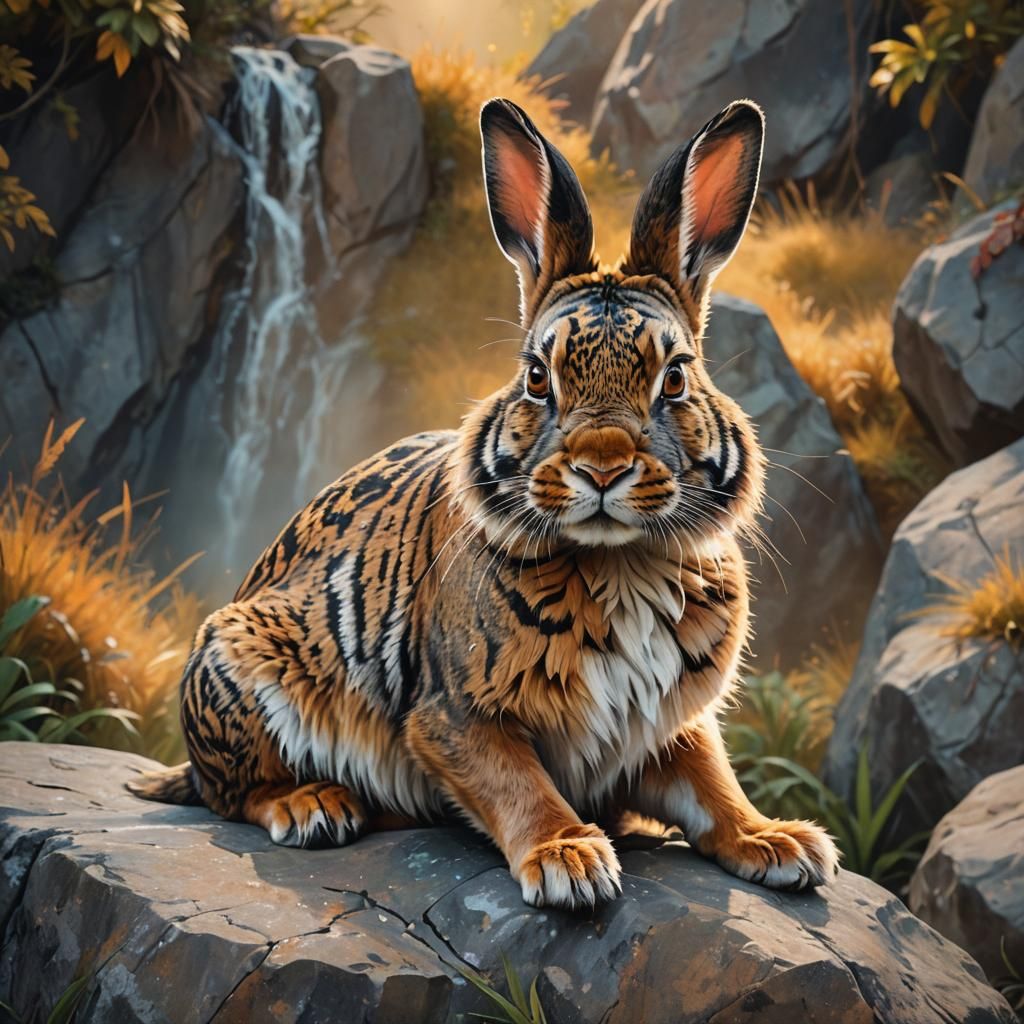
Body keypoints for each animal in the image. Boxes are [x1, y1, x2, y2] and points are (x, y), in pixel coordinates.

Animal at [128, 96, 839, 909]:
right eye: (536, 376)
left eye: (676, 378)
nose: (602, 466)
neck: (621, 565)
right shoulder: (454, 718)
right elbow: (518, 785)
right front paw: (570, 860)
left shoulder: (666, 726)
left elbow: (714, 785)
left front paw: (780, 842)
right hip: (240, 666)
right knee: (231, 791)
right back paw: (315, 806)